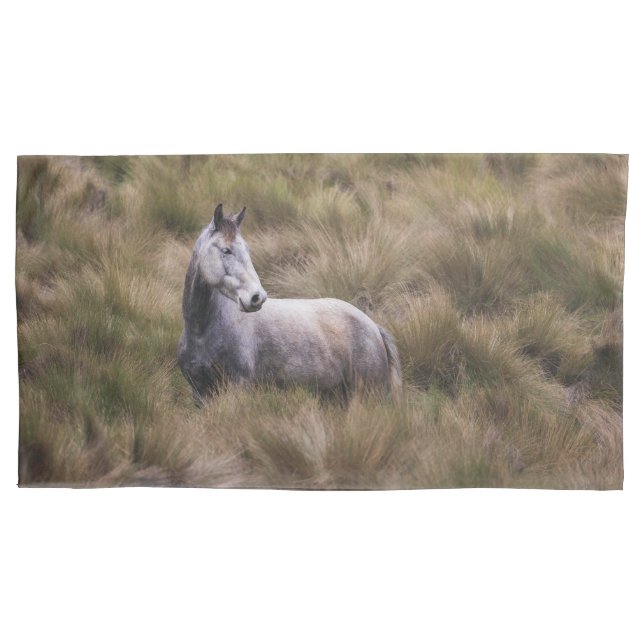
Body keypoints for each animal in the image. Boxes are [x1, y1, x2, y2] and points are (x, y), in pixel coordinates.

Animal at [177, 204, 402, 403]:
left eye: (247, 249)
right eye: (226, 250)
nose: (257, 297)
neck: (202, 331)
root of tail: (373, 326)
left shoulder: (238, 387)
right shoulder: (200, 393)